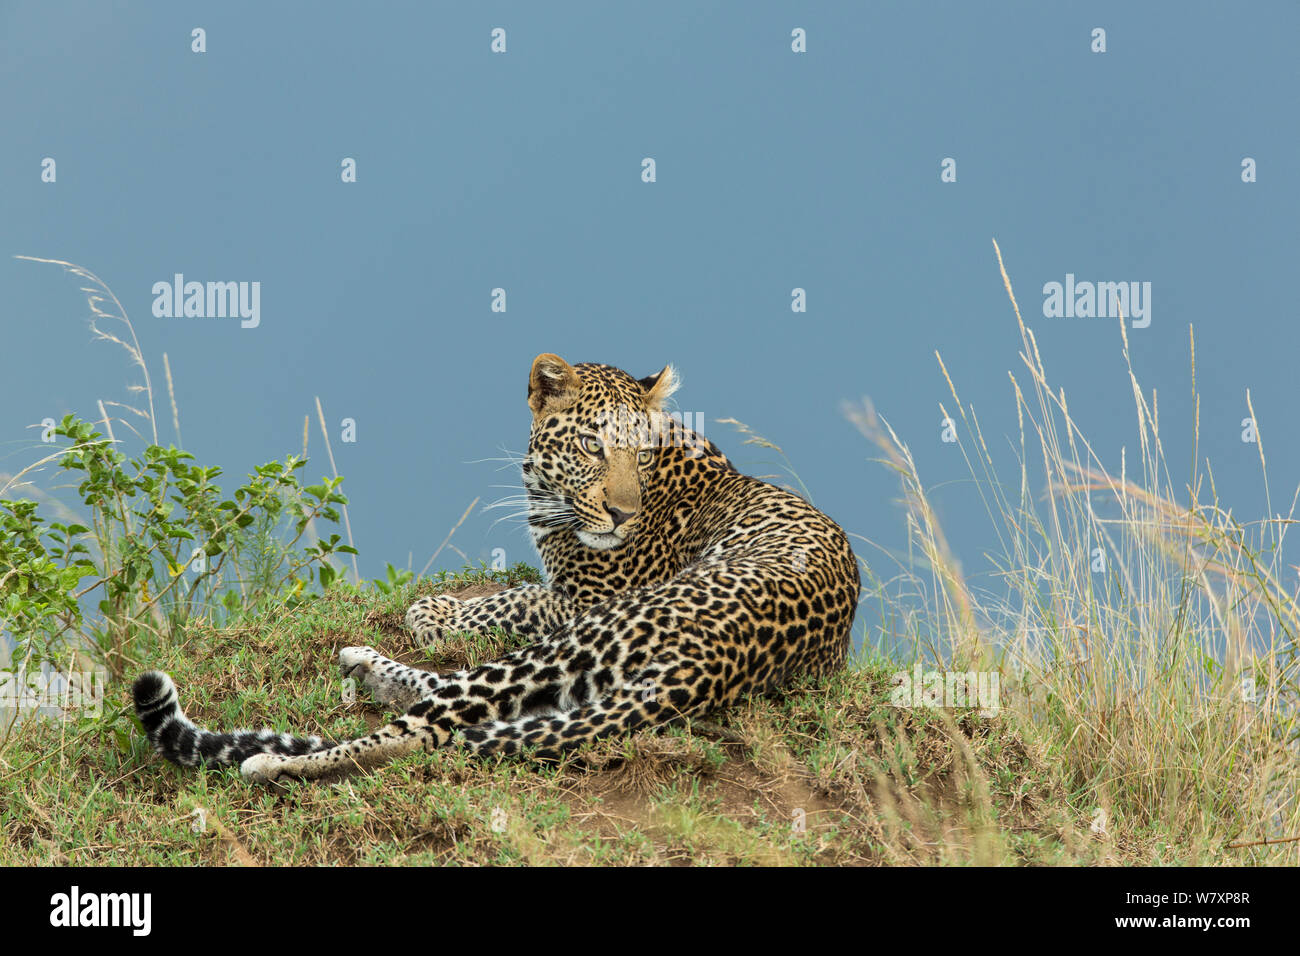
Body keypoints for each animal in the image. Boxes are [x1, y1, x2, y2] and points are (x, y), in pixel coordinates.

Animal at [132, 353, 861, 784]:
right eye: (594, 446)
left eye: (641, 452)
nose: (623, 514)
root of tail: (717, 662)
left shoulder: (582, 597)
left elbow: (513, 596)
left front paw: (433, 610)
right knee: (463, 711)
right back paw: (363, 667)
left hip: (584, 638)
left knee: (426, 728)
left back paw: (274, 759)